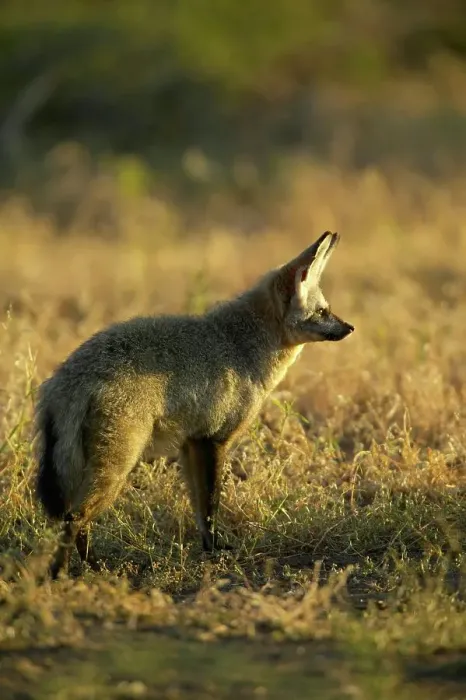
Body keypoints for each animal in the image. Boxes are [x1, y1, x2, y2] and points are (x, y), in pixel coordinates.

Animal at [34, 230, 354, 578]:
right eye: (322, 312)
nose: (350, 328)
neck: (240, 344)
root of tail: (70, 376)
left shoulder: (190, 444)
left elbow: (200, 509)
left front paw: (207, 547)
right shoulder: (213, 440)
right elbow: (212, 503)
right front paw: (215, 549)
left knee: (79, 522)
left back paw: (93, 566)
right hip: (116, 471)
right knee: (74, 519)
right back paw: (63, 573)